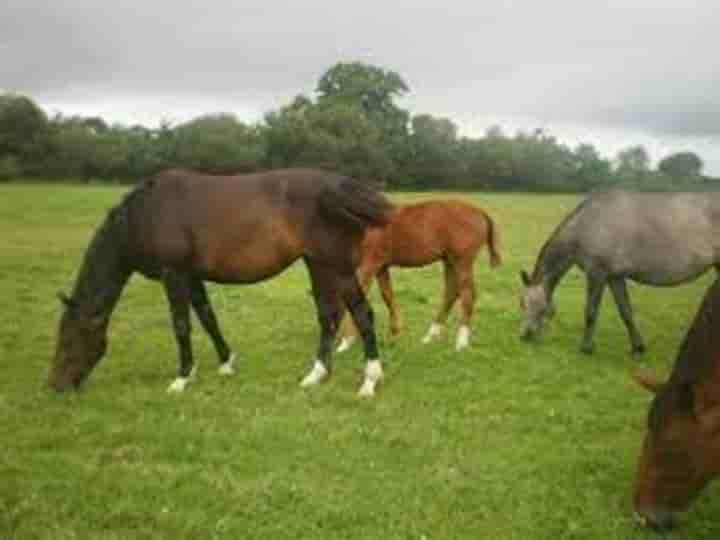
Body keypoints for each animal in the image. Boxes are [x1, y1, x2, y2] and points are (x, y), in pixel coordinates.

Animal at [49, 169, 394, 396]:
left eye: (70, 338)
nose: (56, 385)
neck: (145, 215)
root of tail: (340, 186)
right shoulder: (191, 276)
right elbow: (207, 317)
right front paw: (225, 363)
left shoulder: (174, 274)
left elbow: (181, 325)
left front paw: (181, 378)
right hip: (319, 265)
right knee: (328, 316)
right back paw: (316, 375)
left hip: (338, 267)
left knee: (362, 315)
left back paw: (369, 380)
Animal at [334, 200, 500, 352]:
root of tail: (480, 212)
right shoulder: (381, 266)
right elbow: (387, 296)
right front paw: (395, 333)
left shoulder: (370, 264)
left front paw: (346, 341)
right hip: (449, 261)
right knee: (451, 293)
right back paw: (430, 336)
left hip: (462, 260)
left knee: (467, 294)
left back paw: (461, 342)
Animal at [520, 192, 720, 356]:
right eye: (522, 303)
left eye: (535, 304)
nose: (525, 335)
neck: (587, 224)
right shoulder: (614, 277)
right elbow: (626, 312)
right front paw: (638, 347)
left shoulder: (597, 274)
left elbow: (591, 311)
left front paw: (586, 348)